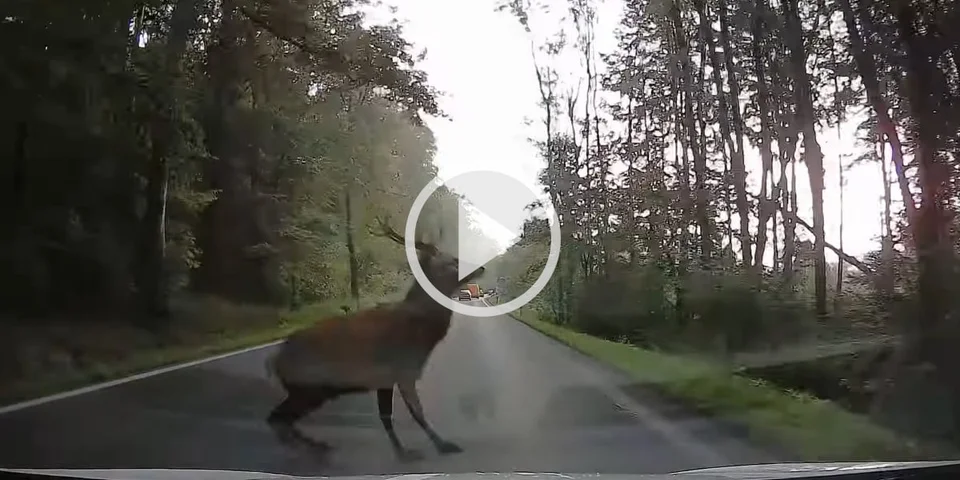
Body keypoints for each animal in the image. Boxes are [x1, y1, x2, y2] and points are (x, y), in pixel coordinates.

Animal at [265, 218, 484, 462]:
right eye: (451, 262)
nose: (481, 268)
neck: (422, 329)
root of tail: (274, 361)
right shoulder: (403, 370)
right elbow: (414, 412)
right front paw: (439, 446)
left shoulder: (386, 377)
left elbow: (386, 416)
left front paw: (404, 450)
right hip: (309, 387)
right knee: (277, 418)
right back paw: (313, 448)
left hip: (310, 390)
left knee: (279, 419)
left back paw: (315, 447)